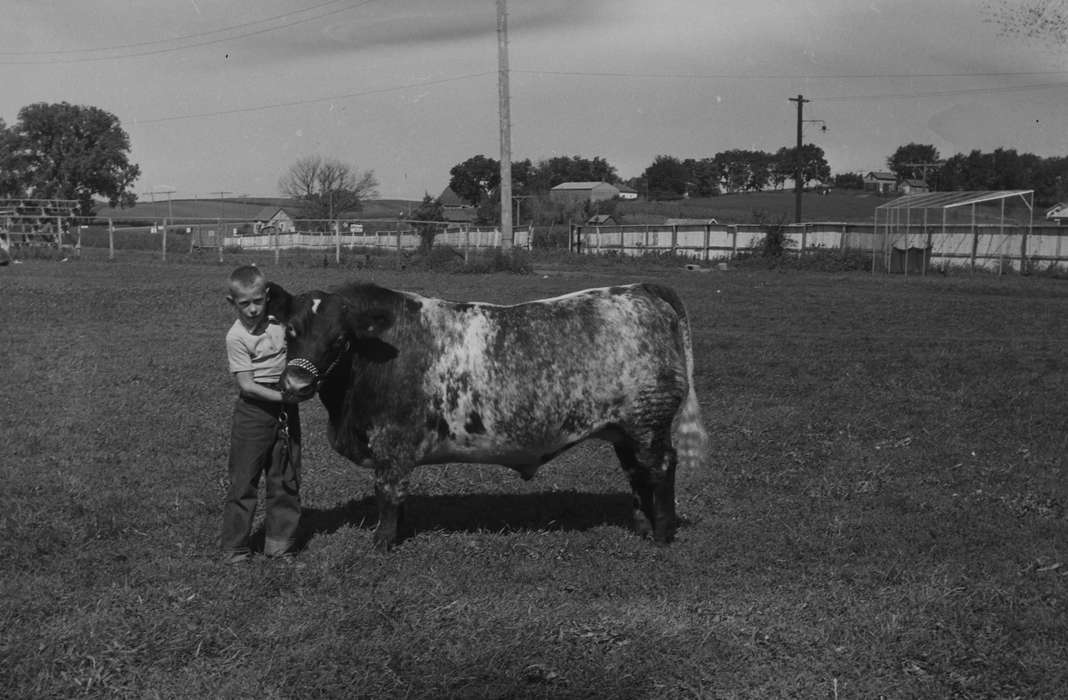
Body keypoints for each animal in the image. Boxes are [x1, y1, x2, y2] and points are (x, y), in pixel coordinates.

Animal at [267, 281, 709, 551]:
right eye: (290, 331)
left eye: (340, 339)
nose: (294, 384)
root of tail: (639, 290)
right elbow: (398, 496)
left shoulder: (392, 444)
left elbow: (388, 494)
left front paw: (383, 541)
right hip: (625, 430)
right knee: (636, 473)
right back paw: (642, 526)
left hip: (648, 422)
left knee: (660, 468)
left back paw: (662, 532)